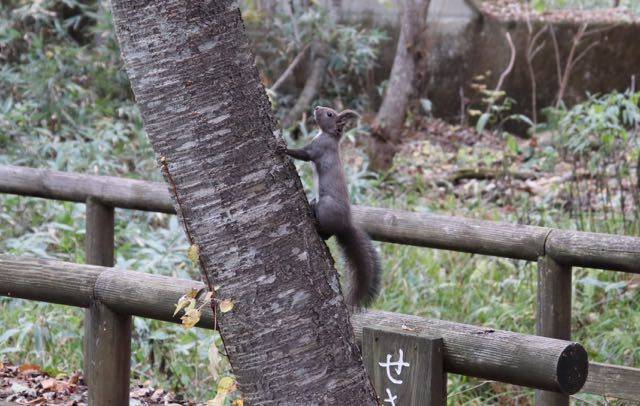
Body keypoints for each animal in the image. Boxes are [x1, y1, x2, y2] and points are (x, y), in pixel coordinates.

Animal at [284, 106, 380, 306]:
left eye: (329, 114)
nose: (316, 108)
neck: (327, 136)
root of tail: (344, 225)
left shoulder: (318, 148)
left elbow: (303, 154)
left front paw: (282, 148)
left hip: (326, 205)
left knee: (327, 233)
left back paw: (315, 223)